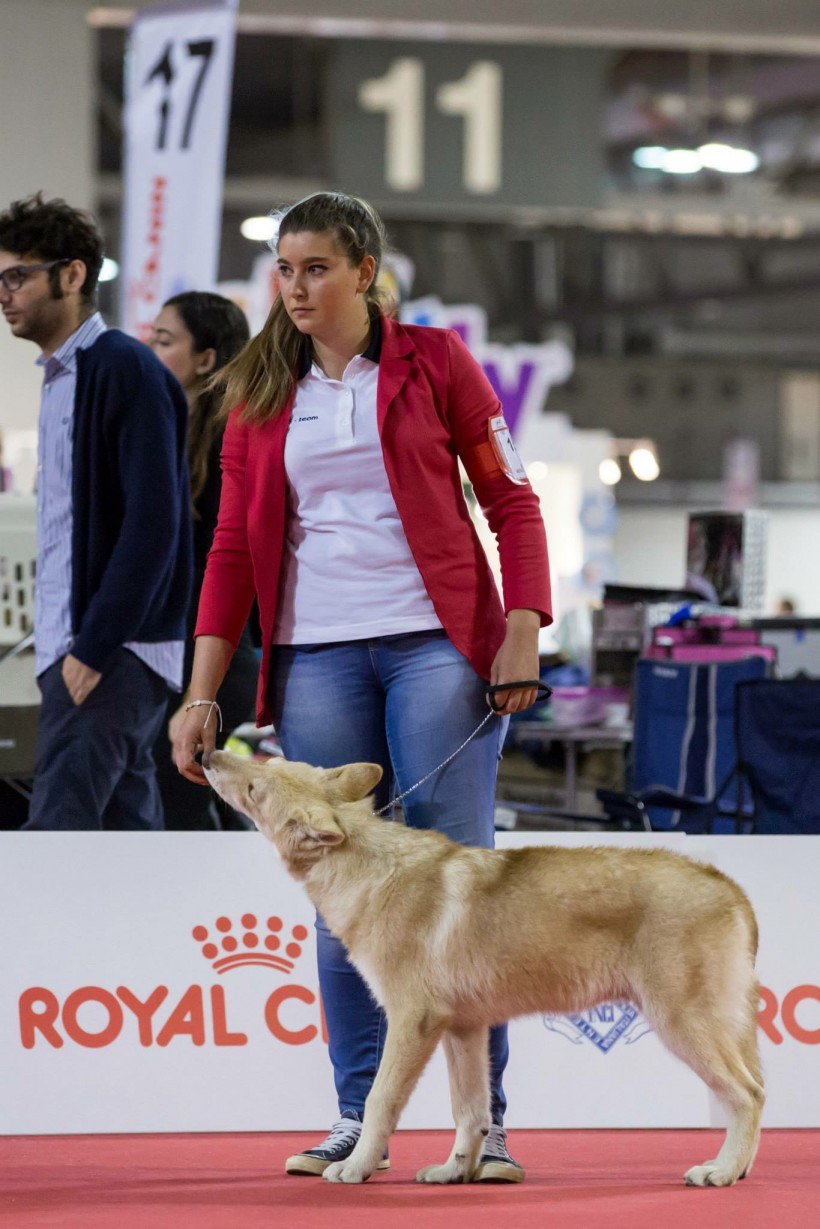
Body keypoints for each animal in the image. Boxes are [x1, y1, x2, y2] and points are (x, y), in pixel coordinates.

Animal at [204, 752, 762, 1184]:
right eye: (268, 763)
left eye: (254, 787)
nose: (207, 753)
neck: (371, 871)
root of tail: (728, 884)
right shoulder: (464, 1030)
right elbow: (470, 1112)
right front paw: (455, 1172)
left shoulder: (412, 1023)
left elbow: (380, 1101)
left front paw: (356, 1168)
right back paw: (738, 1167)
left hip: (683, 1026)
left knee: (749, 1096)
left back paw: (722, 1171)